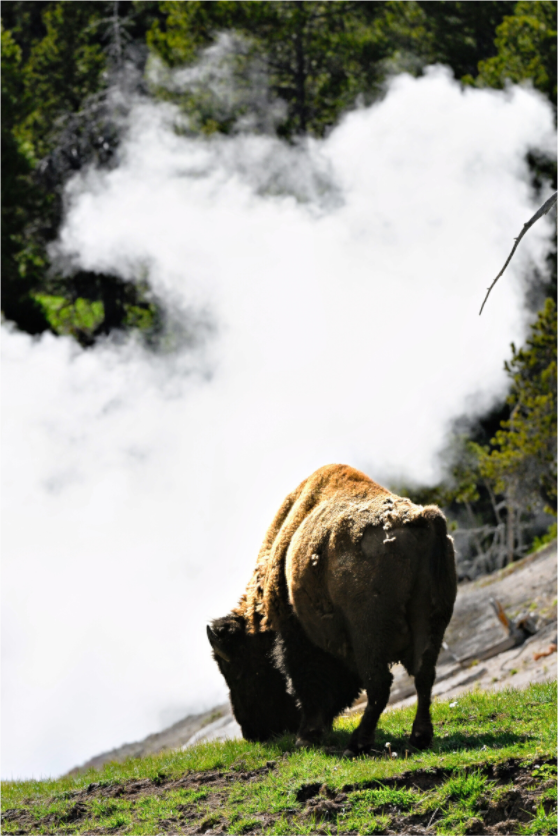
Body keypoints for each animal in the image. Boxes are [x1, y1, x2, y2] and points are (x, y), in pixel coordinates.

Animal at [207, 463, 457, 755]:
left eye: (236, 672)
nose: (252, 733)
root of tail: (423, 519)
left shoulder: (298, 636)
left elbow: (308, 682)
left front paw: (307, 736)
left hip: (368, 633)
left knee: (380, 684)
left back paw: (357, 743)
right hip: (430, 623)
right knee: (423, 675)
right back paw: (419, 737)